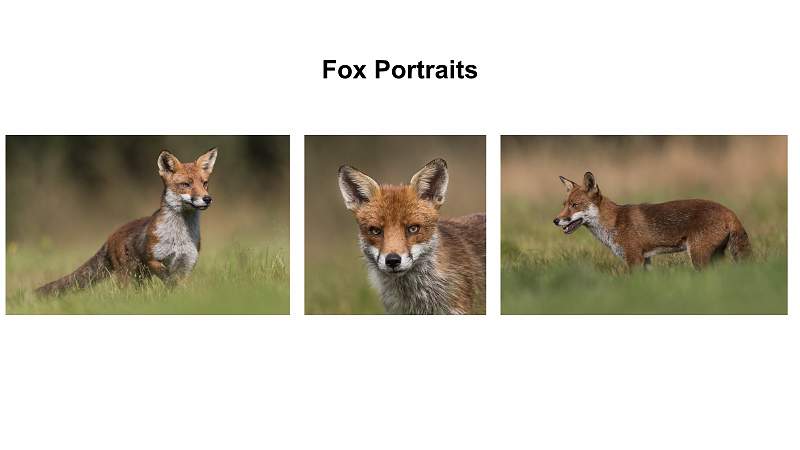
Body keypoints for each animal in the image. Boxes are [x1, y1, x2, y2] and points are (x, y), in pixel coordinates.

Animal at [35, 148, 218, 296]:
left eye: (205, 183)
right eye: (186, 184)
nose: (207, 199)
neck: (178, 237)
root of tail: (110, 236)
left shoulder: (186, 264)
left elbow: (178, 285)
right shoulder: (152, 259)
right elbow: (167, 277)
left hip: (141, 277)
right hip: (129, 276)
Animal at [553, 171, 751, 270]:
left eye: (575, 205)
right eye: (564, 204)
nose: (556, 220)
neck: (614, 222)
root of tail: (730, 212)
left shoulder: (634, 258)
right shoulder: (645, 259)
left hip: (699, 257)